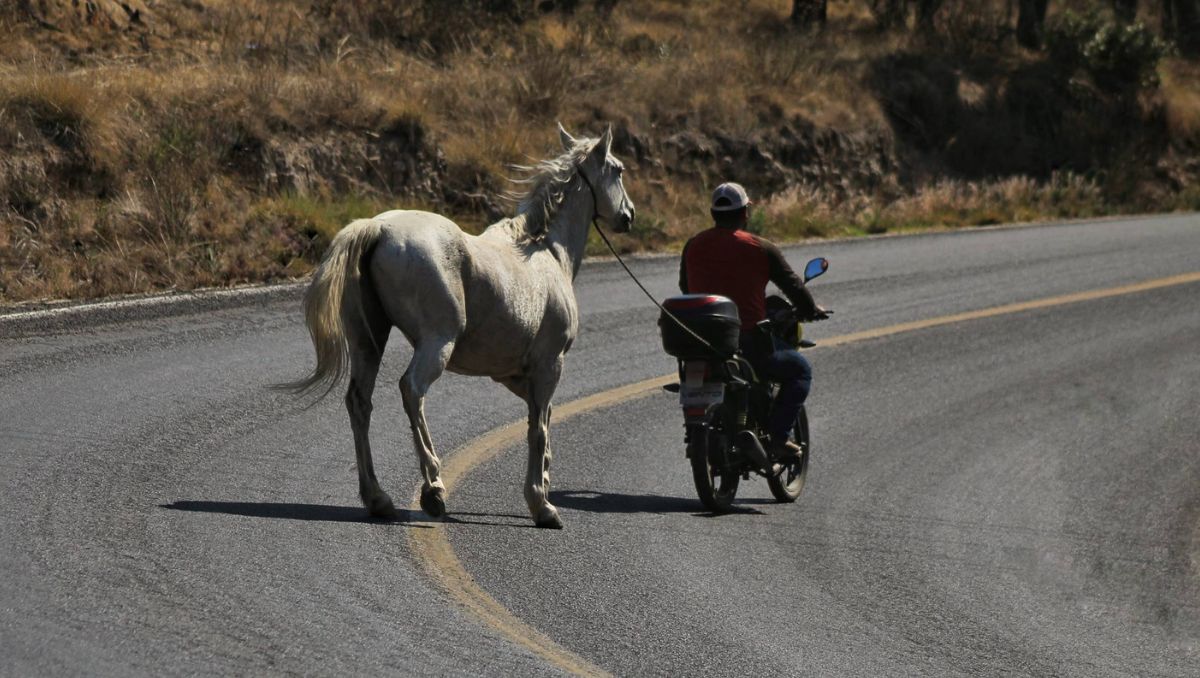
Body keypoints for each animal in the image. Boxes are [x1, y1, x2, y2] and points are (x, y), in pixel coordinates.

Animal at [280, 125, 635, 529]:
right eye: (618, 169)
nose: (628, 215)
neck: (544, 250)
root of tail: (378, 227)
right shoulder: (550, 365)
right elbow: (538, 428)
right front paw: (542, 505)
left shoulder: (515, 375)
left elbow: (541, 420)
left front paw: (543, 484)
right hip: (437, 343)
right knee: (411, 390)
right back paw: (433, 487)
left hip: (368, 343)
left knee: (359, 402)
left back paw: (378, 498)